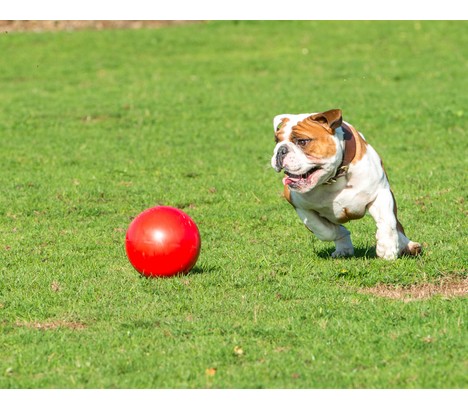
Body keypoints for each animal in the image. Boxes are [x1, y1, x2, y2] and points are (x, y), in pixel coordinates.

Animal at [270, 109, 420, 260]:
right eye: (276, 141)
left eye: (302, 141)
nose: (281, 150)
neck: (334, 178)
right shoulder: (300, 206)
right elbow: (325, 230)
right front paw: (342, 236)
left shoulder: (380, 193)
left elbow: (387, 222)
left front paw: (387, 249)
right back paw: (343, 249)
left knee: (397, 225)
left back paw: (408, 245)